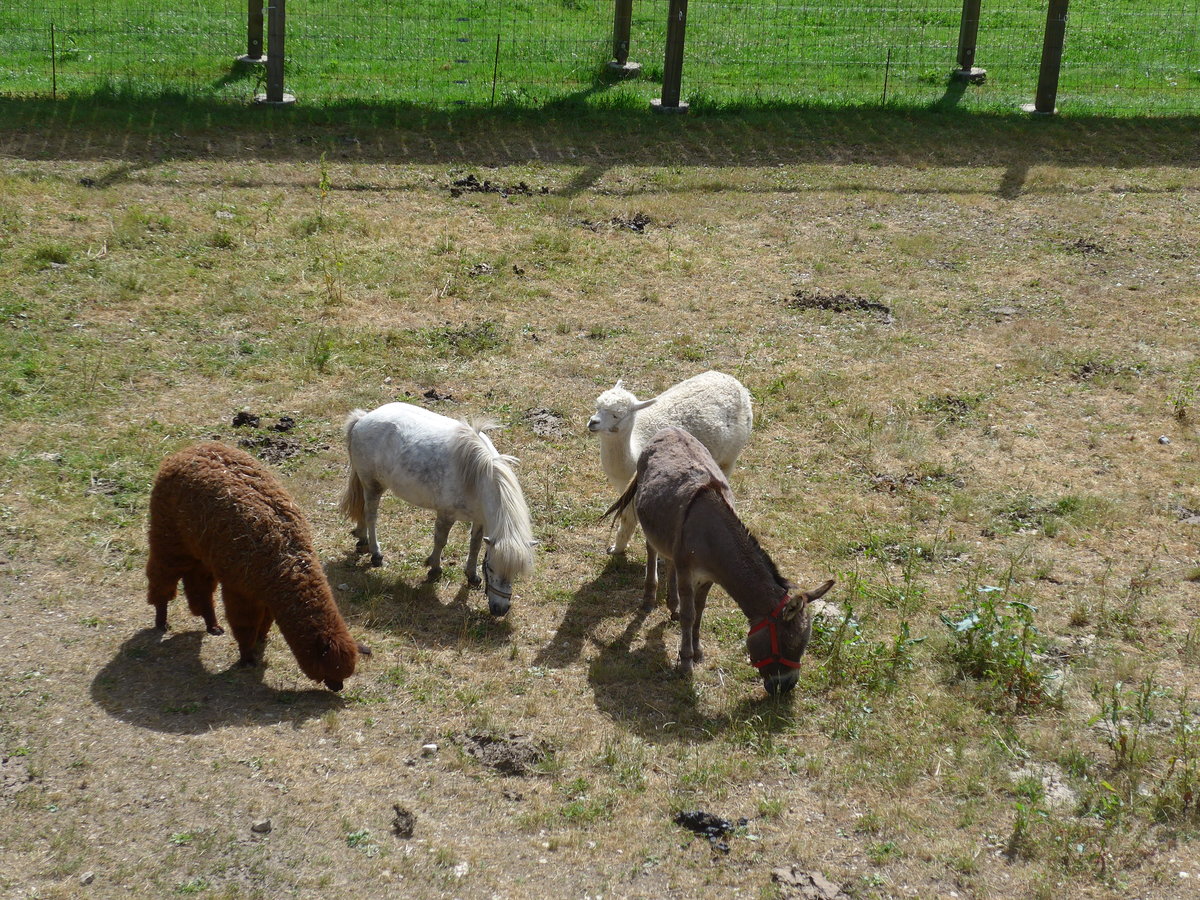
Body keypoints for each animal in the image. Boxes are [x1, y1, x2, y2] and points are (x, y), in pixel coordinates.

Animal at [339, 403, 536, 616]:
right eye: (491, 568)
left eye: (515, 573)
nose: (500, 610)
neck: (477, 477)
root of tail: (363, 418)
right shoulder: (446, 515)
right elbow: (440, 541)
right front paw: (434, 568)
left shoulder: (479, 520)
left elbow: (474, 545)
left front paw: (471, 575)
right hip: (372, 485)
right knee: (371, 515)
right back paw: (376, 553)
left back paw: (362, 539)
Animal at [605, 427, 833, 694]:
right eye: (787, 643)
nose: (786, 687)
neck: (712, 535)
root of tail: (670, 429)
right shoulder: (688, 571)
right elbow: (690, 614)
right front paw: (685, 662)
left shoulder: (709, 577)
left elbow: (700, 611)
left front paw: (697, 651)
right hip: (649, 516)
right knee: (653, 550)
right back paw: (650, 598)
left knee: (669, 557)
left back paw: (672, 604)